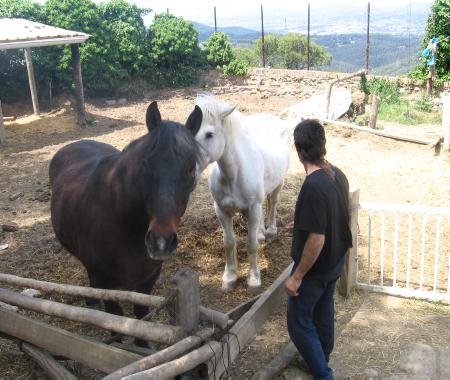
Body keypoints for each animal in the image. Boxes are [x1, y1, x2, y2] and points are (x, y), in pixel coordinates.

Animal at [49, 101, 202, 324]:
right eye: (145, 164)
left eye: (191, 169)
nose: (161, 241)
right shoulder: (103, 281)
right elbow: (115, 317)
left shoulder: (148, 278)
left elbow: (141, 314)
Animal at [193, 95, 292, 290]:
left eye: (209, 134)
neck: (233, 176)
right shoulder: (222, 211)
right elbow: (229, 243)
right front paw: (230, 276)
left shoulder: (253, 209)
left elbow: (251, 244)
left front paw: (253, 278)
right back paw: (261, 232)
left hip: (279, 184)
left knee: (273, 203)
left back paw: (271, 231)